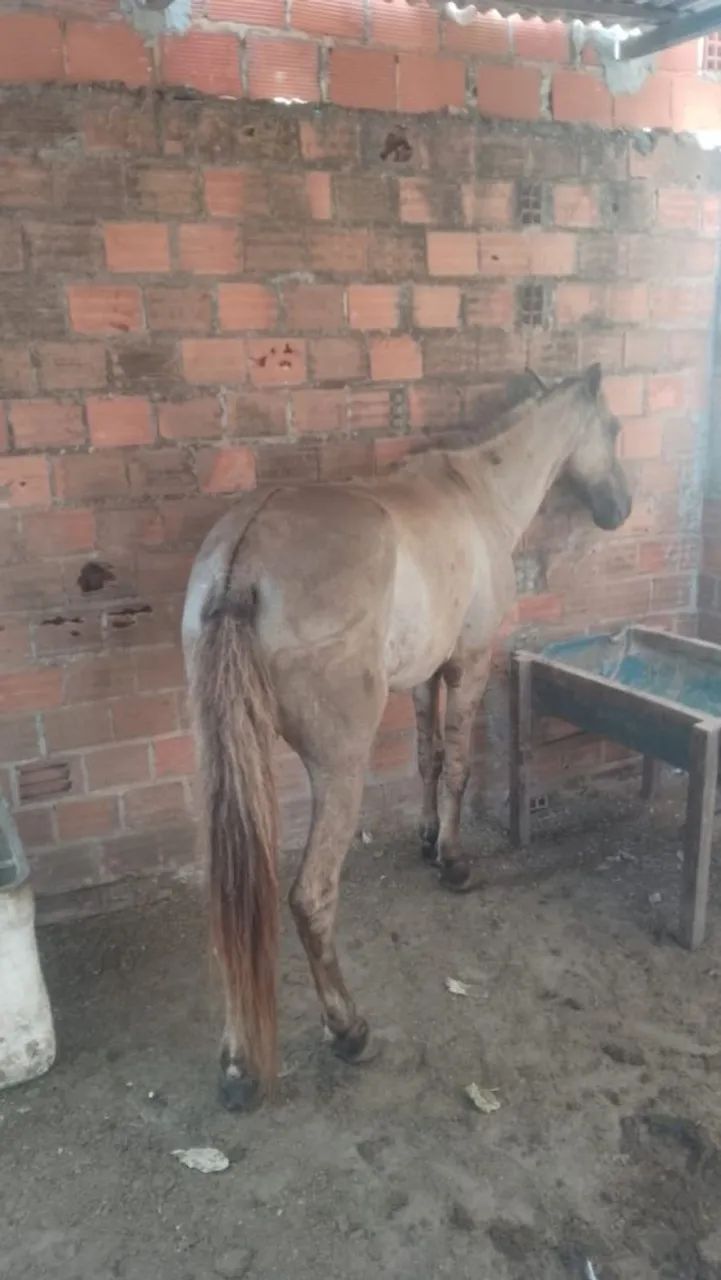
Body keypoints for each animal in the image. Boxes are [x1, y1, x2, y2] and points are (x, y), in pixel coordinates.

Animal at [182, 362, 632, 1110]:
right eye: (615, 427)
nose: (619, 509)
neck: (476, 493)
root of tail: (241, 562)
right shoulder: (469, 663)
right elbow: (459, 768)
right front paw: (452, 861)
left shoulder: (425, 676)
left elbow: (429, 757)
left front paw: (426, 839)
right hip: (338, 767)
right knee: (310, 897)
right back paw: (348, 1029)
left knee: (232, 907)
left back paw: (237, 1064)